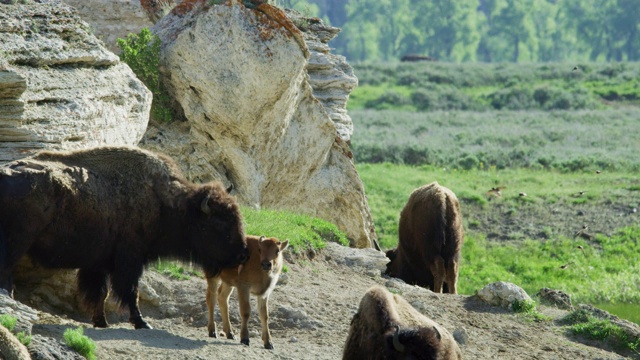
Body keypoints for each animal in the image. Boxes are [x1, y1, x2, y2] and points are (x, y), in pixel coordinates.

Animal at [0, 146, 249, 330]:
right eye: (219, 223)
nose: (243, 254)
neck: (167, 203)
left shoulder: (98, 263)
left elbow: (100, 293)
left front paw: (101, 322)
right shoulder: (129, 260)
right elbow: (130, 292)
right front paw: (142, 323)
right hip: (17, 242)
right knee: (6, 271)